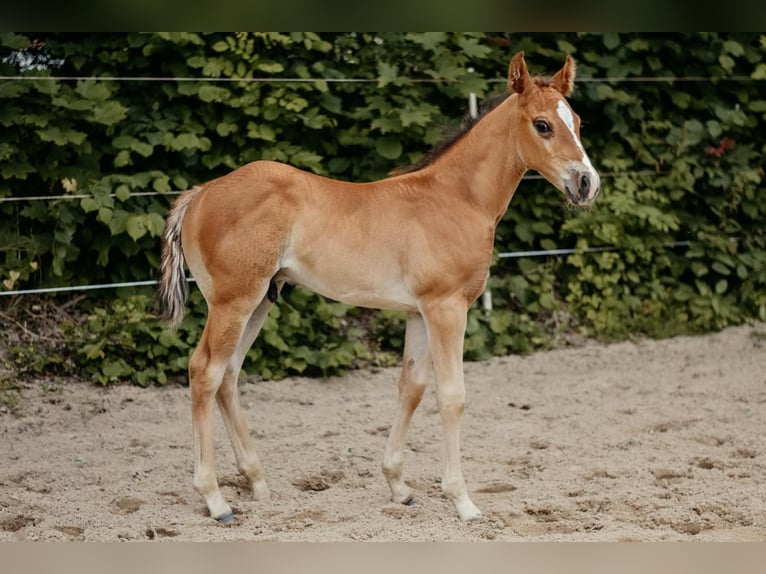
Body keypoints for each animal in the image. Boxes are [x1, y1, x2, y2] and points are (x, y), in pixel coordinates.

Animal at [157, 51, 600, 524]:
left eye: (577, 121)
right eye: (542, 125)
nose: (587, 184)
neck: (455, 199)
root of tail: (202, 192)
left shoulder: (419, 312)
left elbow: (412, 388)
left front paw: (399, 487)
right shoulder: (447, 308)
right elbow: (452, 396)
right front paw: (463, 501)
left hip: (259, 301)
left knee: (228, 375)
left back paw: (258, 483)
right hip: (232, 302)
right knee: (204, 372)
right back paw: (215, 499)